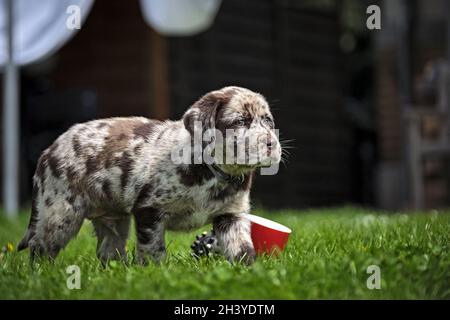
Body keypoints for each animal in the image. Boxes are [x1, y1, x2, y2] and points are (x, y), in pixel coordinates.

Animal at [18, 86, 282, 264]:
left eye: (268, 121)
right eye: (240, 121)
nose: (272, 144)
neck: (212, 173)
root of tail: (48, 150)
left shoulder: (232, 214)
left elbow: (241, 248)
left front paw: (249, 271)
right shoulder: (149, 209)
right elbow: (153, 248)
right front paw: (155, 272)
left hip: (113, 220)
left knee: (108, 249)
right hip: (60, 212)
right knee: (40, 246)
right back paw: (41, 273)